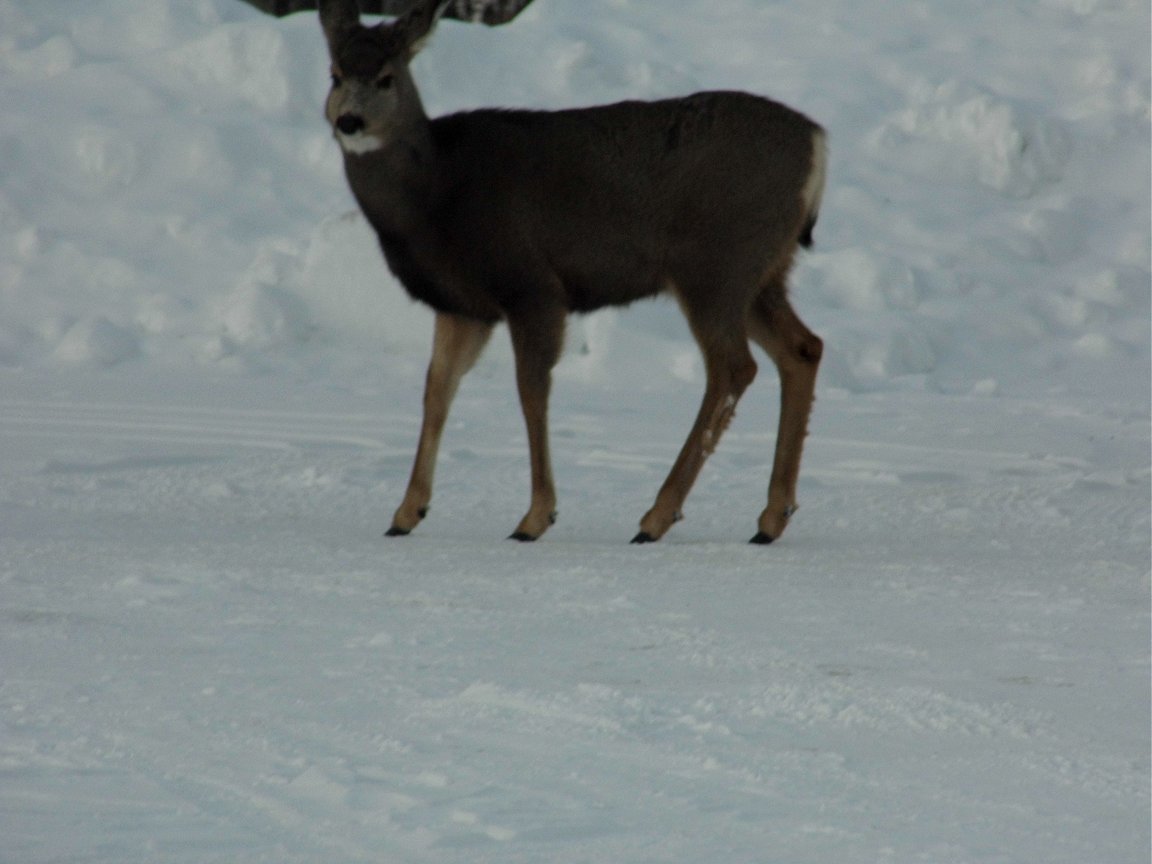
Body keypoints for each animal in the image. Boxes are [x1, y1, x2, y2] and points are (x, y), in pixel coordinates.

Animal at [317, 0, 829, 541]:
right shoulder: (463, 306)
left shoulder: (531, 285)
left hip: (716, 265)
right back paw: (771, 518)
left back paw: (656, 517)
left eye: (387, 77)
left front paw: (536, 516)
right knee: (802, 349)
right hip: (762, 272)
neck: (435, 193)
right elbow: (436, 390)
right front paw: (406, 513)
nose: (349, 121)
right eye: (335, 74)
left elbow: (531, 389)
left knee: (733, 367)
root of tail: (818, 142)